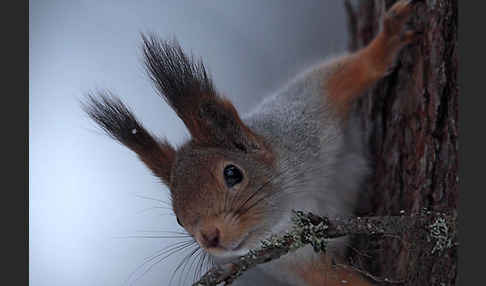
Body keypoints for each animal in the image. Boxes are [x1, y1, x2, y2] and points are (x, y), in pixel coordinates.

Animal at [83, 1, 422, 284]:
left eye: (233, 173)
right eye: (178, 218)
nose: (209, 237)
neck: (296, 200)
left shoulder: (306, 112)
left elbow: (348, 73)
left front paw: (386, 40)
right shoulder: (298, 262)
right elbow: (335, 279)